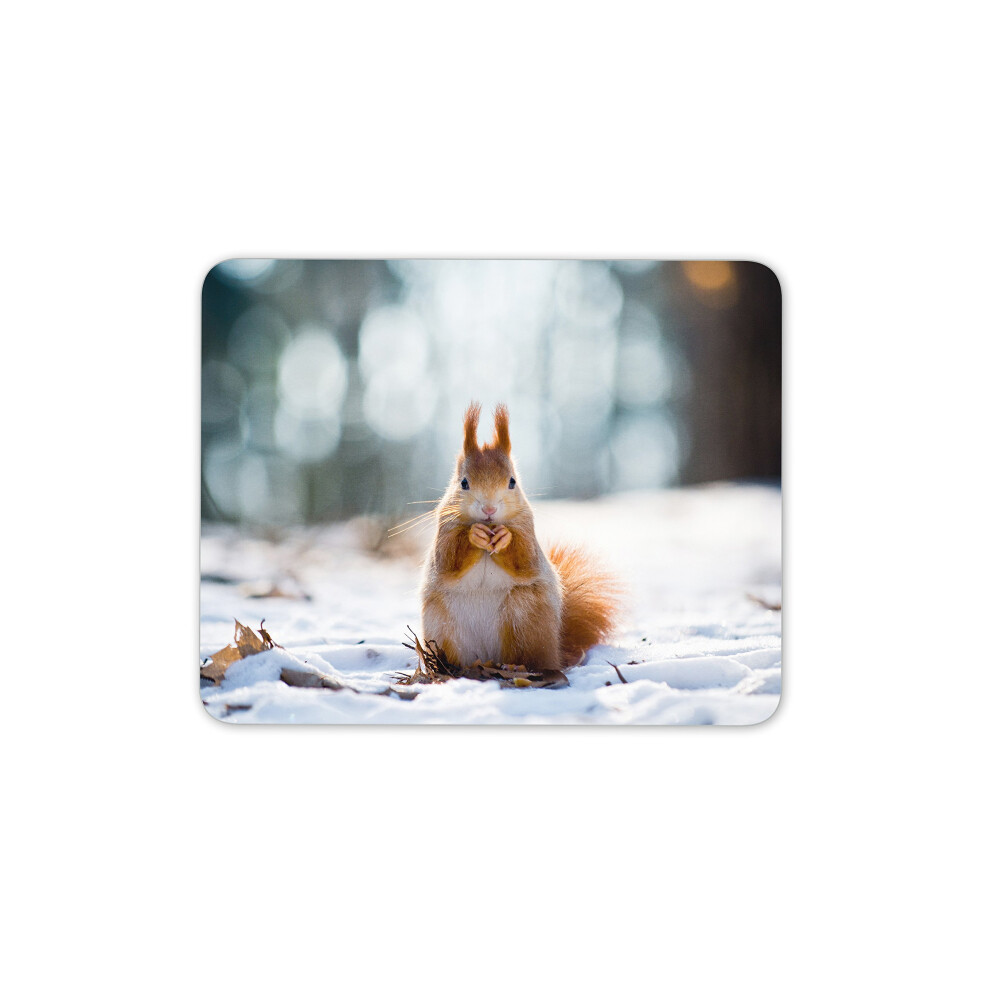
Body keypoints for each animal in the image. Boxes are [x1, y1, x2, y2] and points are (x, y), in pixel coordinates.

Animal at [421, 402, 620, 672]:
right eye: (463, 483)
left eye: (512, 482)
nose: (489, 510)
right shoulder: (444, 530)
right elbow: (447, 560)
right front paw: (474, 534)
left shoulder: (527, 529)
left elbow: (525, 558)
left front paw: (505, 538)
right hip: (441, 627)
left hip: (524, 617)